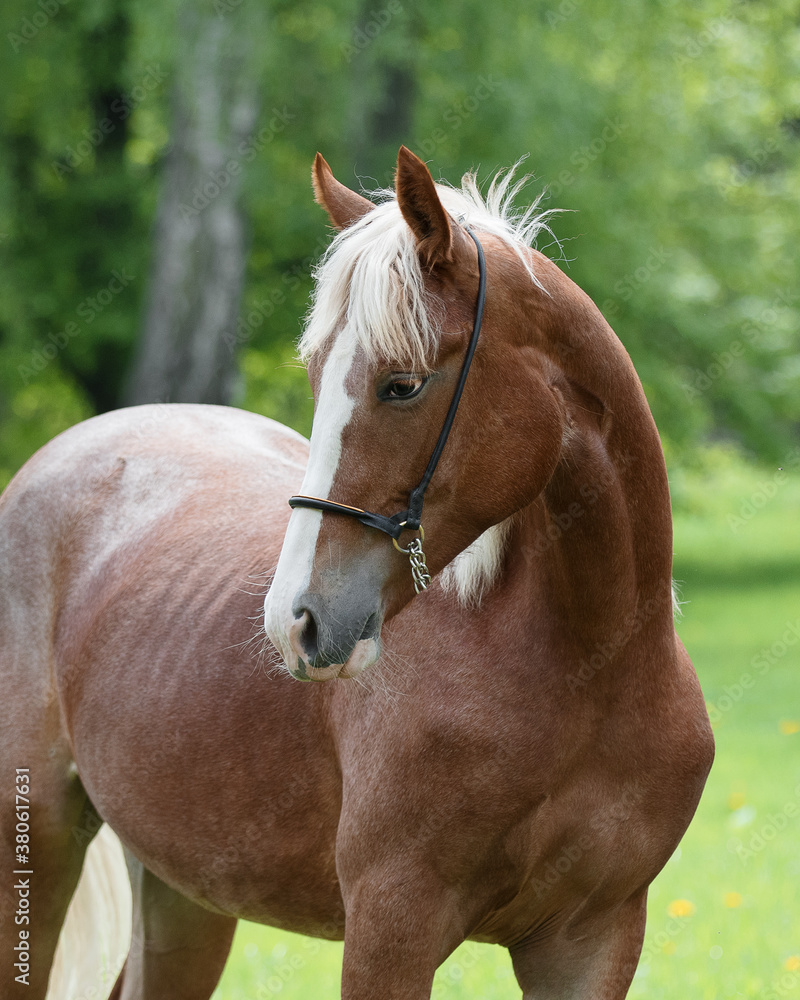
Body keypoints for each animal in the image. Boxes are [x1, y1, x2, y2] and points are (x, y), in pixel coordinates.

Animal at [0, 146, 714, 1000]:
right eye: (315, 376)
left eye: (401, 385)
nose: (294, 621)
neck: (590, 669)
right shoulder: (391, 926)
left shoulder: (593, 938)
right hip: (36, 851)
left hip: (183, 896)